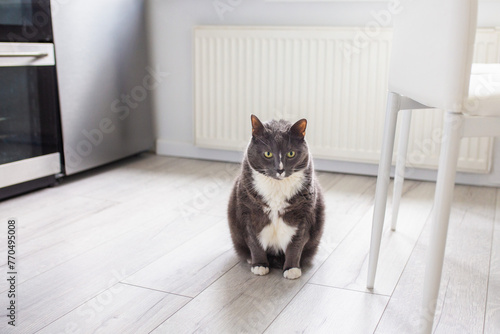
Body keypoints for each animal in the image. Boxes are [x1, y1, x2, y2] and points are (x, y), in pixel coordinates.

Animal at [227, 115, 324, 280]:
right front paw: (259, 265)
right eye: (268, 153)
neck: (277, 187)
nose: (280, 169)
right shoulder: (248, 212)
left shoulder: (304, 214)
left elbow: (296, 243)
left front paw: (292, 269)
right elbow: (254, 241)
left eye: (291, 154)